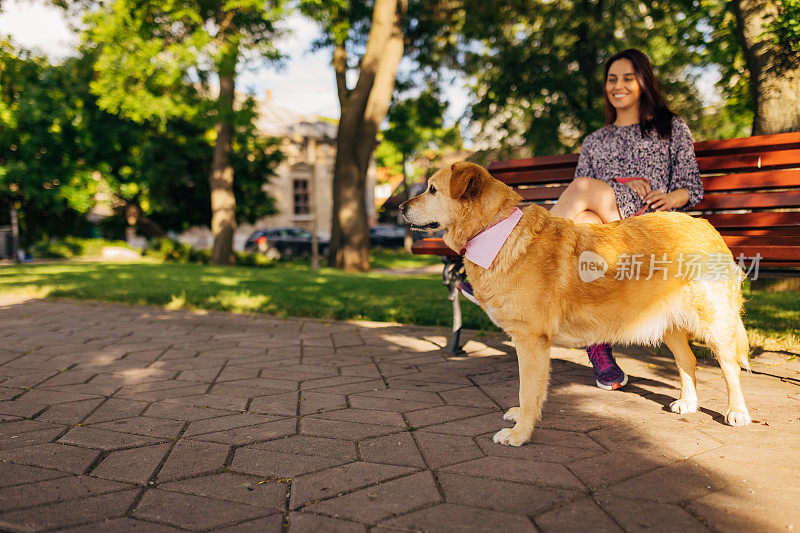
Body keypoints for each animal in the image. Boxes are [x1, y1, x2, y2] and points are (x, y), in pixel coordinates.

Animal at [400, 161, 752, 444]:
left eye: (432, 189)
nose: (400, 207)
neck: (496, 231)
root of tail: (705, 224)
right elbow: (530, 393)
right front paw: (522, 419)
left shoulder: (531, 341)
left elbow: (528, 390)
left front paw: (520, 434)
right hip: (669, 324)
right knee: (688, 361)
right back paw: (688, 402)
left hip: (714, 323)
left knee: (729, 366)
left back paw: (737, 411)